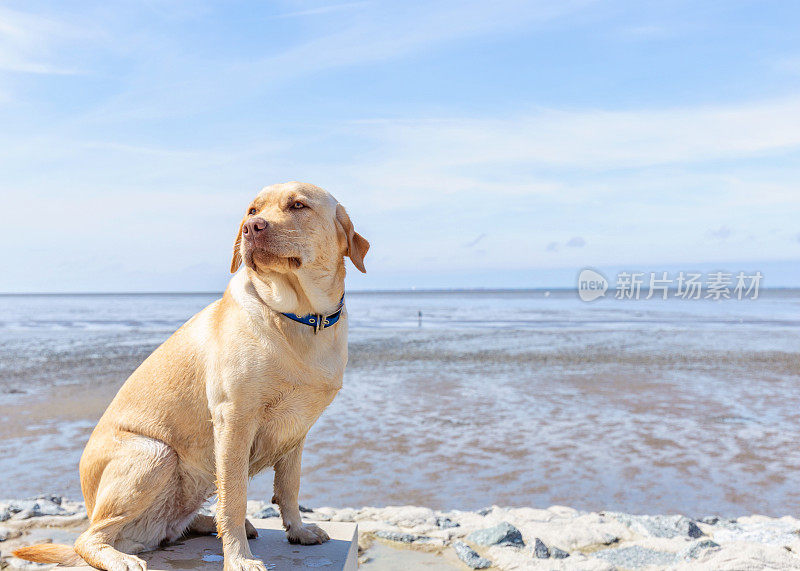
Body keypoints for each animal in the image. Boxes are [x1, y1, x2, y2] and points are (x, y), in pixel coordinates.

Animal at [13, 182, 368, 571]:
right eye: (252, 210)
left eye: (298, 205)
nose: (252, 227)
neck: (300, 317)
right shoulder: (234, 421)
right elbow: (235, 498)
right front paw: (239, 558)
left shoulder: (296, 431)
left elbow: (289, 488)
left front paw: (299, 531)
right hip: (154, 454)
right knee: (88, 538)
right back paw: (122, 557)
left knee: (169, 527)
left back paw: (202, 524)